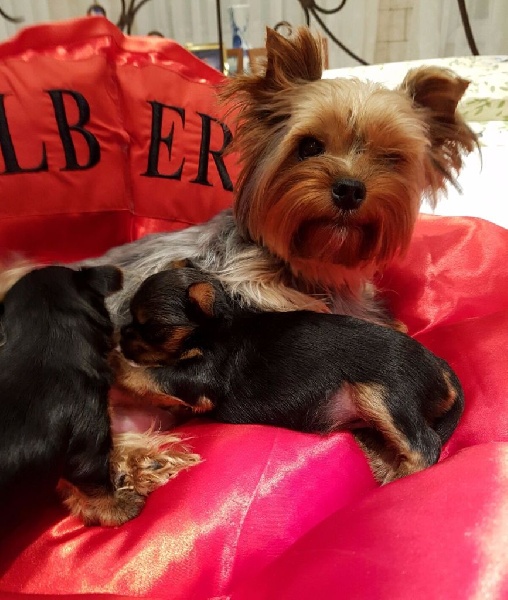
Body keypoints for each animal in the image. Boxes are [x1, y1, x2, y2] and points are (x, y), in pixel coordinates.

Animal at [115, 268, 464, 482]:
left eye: (152, 328)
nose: (121, 336)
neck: (216, 325)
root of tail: (442, 368)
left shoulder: (201, 378)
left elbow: (152, 375)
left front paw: (115, 365)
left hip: (384, 395)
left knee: (425, 447)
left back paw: (396, 478)